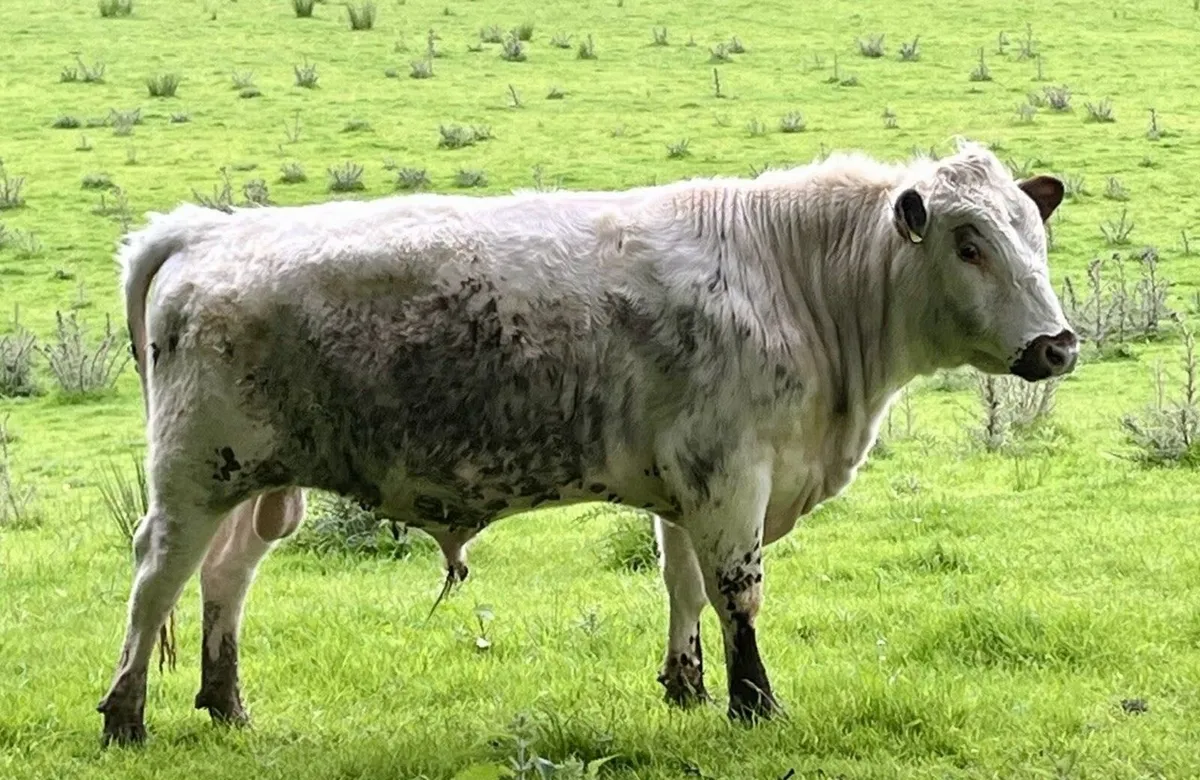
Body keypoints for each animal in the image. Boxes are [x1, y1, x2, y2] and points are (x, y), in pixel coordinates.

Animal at [96, 139, 1076, 745]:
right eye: (968, 243)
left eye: (1033, 234)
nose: (1059, 345)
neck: (791, 276)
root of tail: (208, 227)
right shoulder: (733, 480)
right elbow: (737, 595)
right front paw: (754, 704)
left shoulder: (688, 485)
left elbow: (682, 584)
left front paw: (686, 686)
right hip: (191, 478)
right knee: (157, 578)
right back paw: (126, 714)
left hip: (257, 487)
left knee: (223, 579)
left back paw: (226, 705)